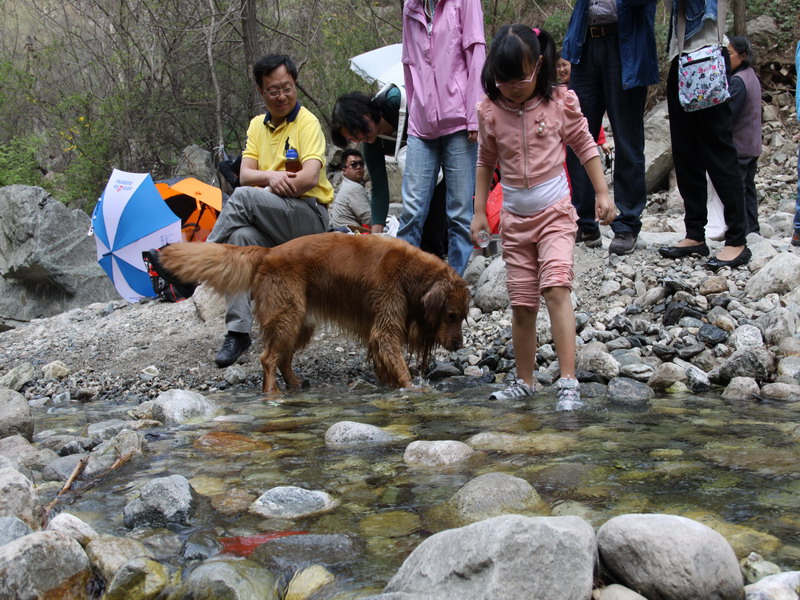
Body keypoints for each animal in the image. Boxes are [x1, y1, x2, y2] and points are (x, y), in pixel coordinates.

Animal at [156, 233, 468, 394]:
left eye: (462, 316)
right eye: (451, 315)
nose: (458, 345)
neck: (410, 273)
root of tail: (268, 252)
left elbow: (384, 361)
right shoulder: (386, 322)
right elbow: (394, 355)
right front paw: (410, 386)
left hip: (299, 323)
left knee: (283, 359)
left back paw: (295, 383)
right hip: (287, 317)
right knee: (268, 358)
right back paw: (272, 393)